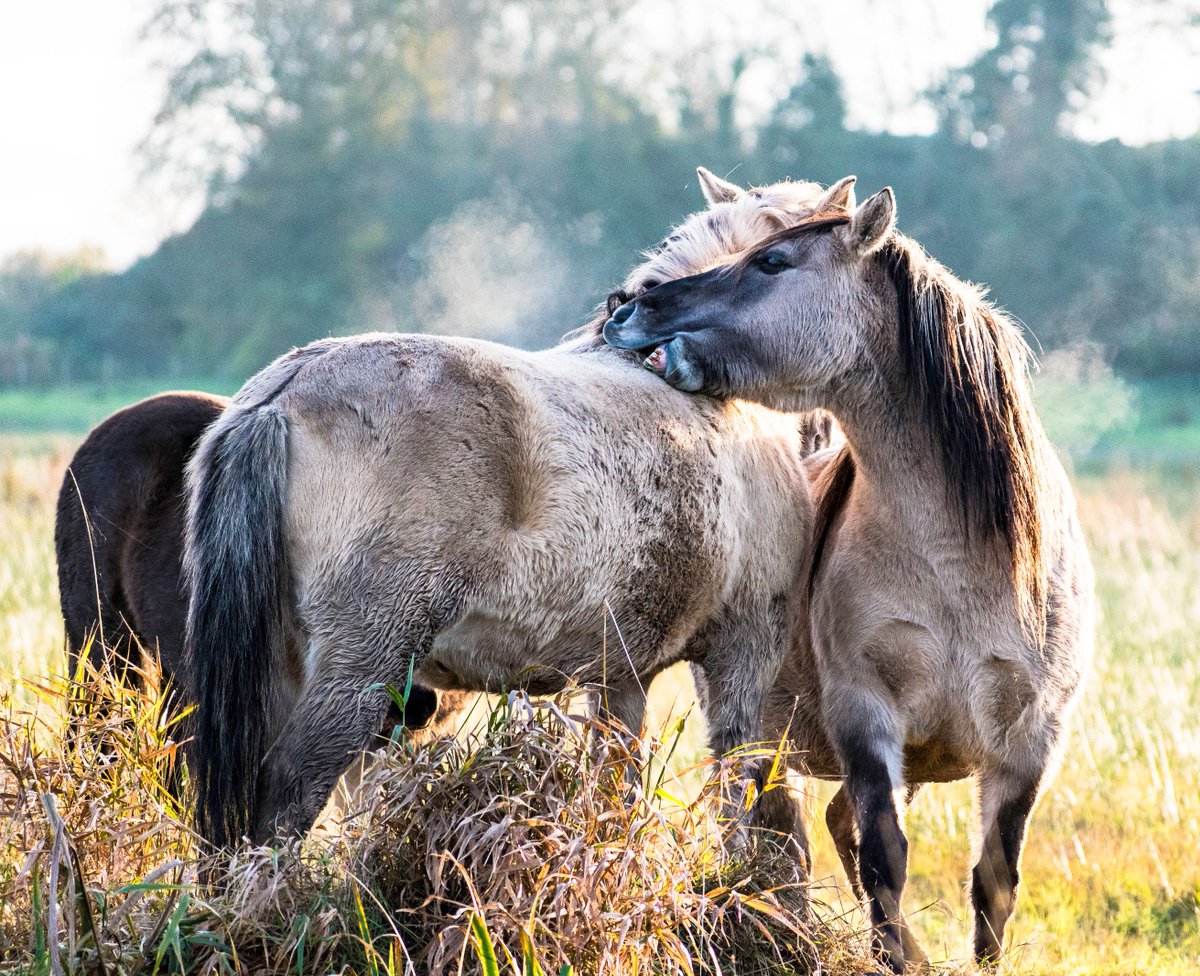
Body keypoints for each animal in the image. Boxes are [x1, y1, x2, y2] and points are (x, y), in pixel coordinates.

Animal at [184, 172, 856, 850]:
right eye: (772, 261)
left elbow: (616, 780)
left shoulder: (622, 673)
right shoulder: (742, 653)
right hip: (362, 664)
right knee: (292, 787)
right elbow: (737, 792)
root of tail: (283, 394)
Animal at [603, 189, 1095, 971]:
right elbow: (883, 858)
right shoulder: (865, 715)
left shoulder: (1030, 743)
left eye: (772, 262)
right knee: (776, 831)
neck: (960, 569)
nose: (626, 308)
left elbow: (995, 884)